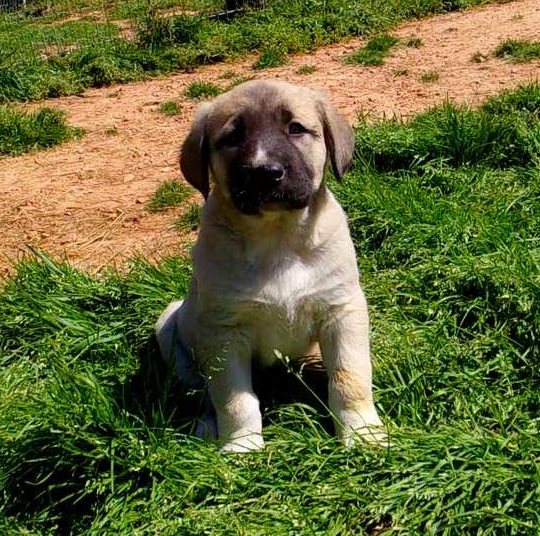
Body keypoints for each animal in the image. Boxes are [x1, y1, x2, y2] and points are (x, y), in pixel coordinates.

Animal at [155, 80, 384, 452]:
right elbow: (234, 399)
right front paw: (241, 446)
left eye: (296, 129)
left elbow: (350, 378)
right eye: (232, 137)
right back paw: (207, 427)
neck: (278, 238)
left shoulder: (342, 310)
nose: (265, 172)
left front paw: (362, 433)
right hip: (170, 330)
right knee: (200, 393)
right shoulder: (224, 332)